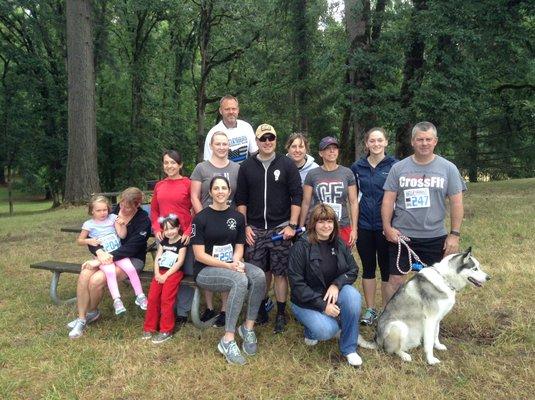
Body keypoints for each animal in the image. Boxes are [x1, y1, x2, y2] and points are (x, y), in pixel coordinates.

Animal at [360, 248, 490, 368]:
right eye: (475, 269)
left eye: (478, 267)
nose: (489, 278)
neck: (445, 278)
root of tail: (376, 340)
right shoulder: (430, 319)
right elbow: (429, 343)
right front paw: (431, 360)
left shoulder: (437, 318)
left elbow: (436, 335)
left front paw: (438, 346)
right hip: (398, 326)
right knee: (391, 349)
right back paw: (404, 356)